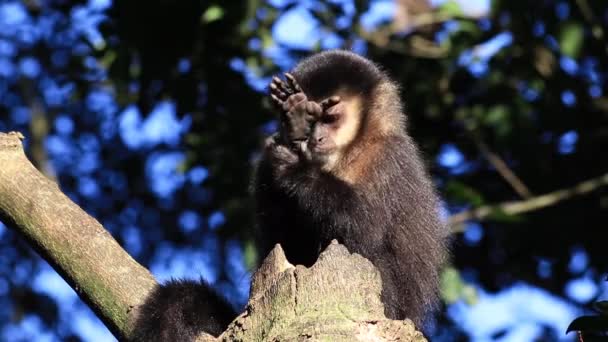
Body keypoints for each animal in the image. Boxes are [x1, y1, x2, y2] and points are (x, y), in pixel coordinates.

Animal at [133, 49, 446, 340]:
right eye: (314, 120)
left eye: (330, 117)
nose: (314, 138)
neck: (349, 153)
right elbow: (280, 239)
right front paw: (291, 131)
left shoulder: (388, 158)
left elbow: (363, 233)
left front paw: (297, 166)